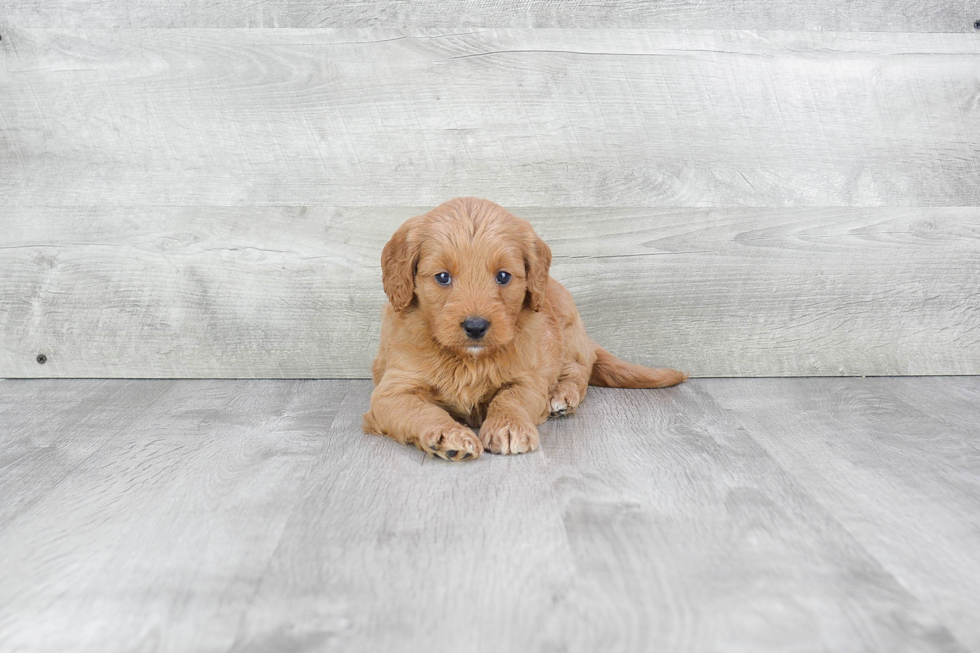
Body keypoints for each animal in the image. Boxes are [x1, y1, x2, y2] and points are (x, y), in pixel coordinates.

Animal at [362, 197, 688, 458]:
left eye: (503, 276)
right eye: (442, 277)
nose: (476, 326)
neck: (469, 360)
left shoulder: (528, 378)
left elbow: (511, 398)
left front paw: (509, 428)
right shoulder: (392, 390)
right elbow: (421, 409)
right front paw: (448, 437)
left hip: (569, 331)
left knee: (579, 371)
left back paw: (562, 396)